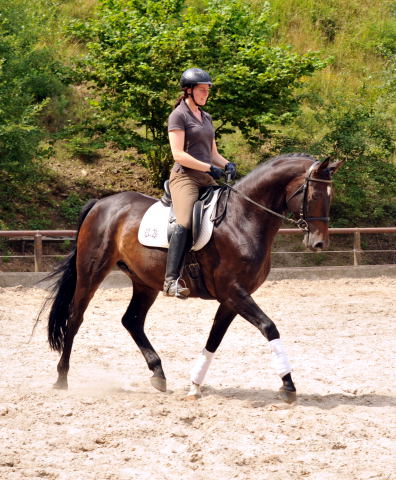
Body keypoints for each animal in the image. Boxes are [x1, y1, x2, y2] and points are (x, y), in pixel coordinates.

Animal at [44, 154, 342, 402]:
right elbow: (269, 327)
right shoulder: (234, 291)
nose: (319, 243)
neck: (243, 218)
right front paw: (288, 384)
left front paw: (195, 385)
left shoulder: (232, 298)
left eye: (330, 195)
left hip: (144, 282)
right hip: (91, 273)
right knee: (76, 317)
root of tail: (102, 203)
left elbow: (214, 339)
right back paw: (62, 377)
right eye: (314, 194)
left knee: (132, 320)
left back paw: (158, 374)